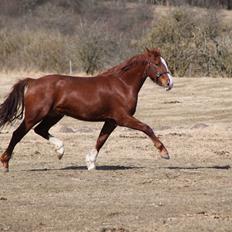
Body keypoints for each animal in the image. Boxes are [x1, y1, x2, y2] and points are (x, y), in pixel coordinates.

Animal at [0, 48, 173, 172]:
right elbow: (146, 128)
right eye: (156, 63)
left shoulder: (111, 120)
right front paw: (164, 153)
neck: (122, 85)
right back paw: (5, 163)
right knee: (18, 134)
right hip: (34, 115)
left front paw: (90, 163)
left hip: (54, 115)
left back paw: (60, 150)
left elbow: (101, 140)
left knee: (40, 130)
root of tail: (32, 81)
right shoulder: (122, 118)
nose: (169, 83)